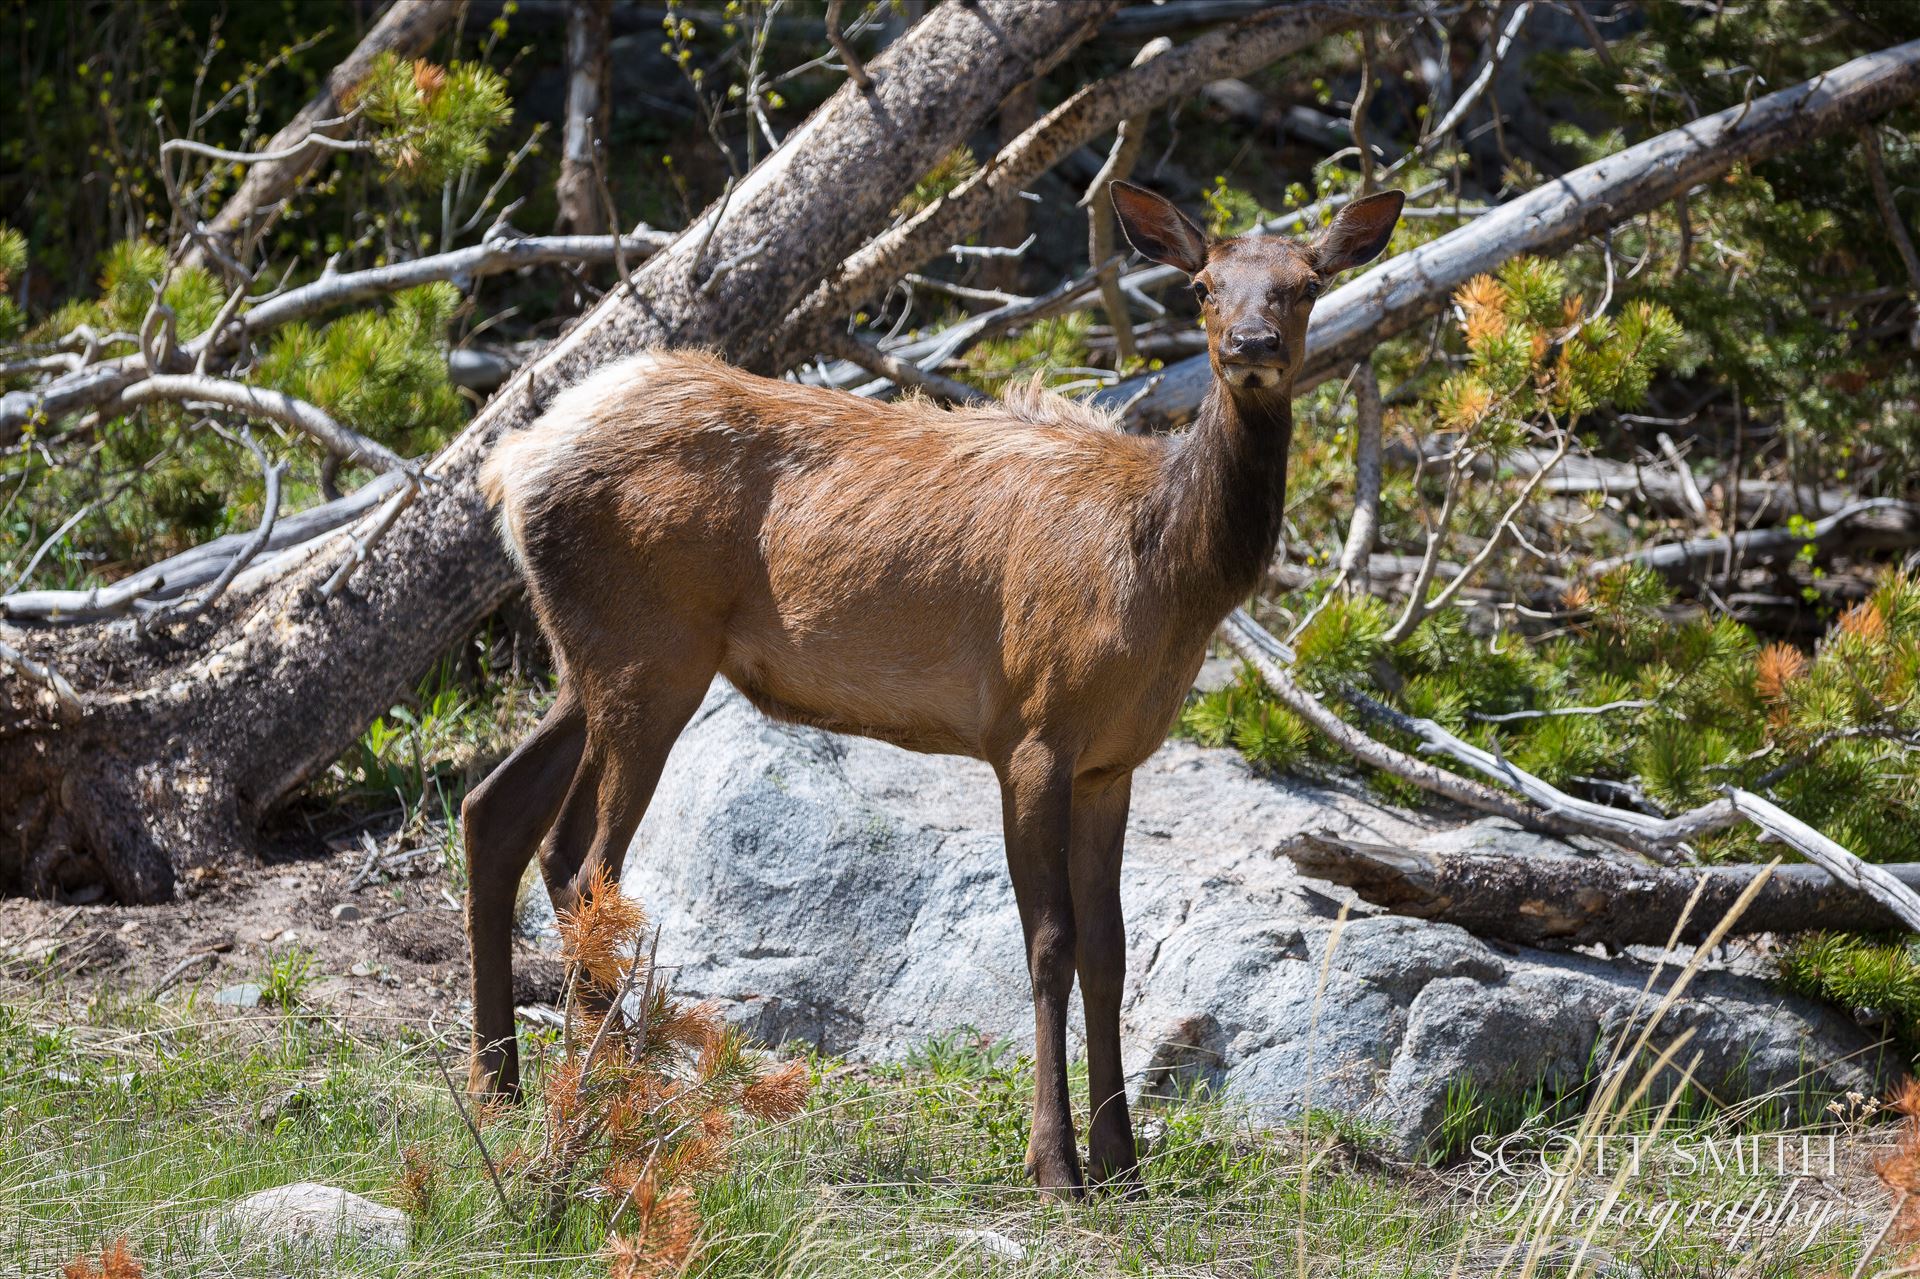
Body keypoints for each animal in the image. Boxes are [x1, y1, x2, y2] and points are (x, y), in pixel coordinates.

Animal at [458, 181, 1405, 1198]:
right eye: (1201, 286)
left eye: (1307, 284)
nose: (1253, 345)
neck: (1164, 579)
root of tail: (512, 464)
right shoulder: (1030, 732)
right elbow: (1051, 943)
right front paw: (1055, 1163)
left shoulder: (1113, 762)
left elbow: (1112, 952)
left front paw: (1122, 1159)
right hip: (651, 656)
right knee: (583, 860)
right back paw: (605, 1089)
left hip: (592, 661)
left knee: (494, 810)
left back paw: (502, 1083)